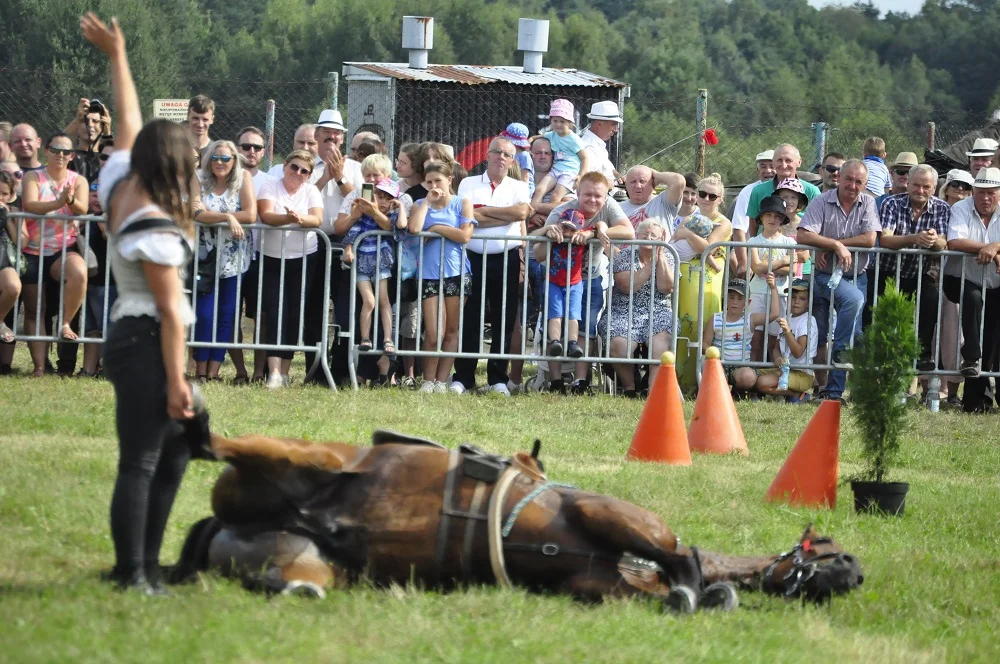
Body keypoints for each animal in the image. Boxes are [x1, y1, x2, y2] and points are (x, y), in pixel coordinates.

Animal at [170, 430, 860, 612]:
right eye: (828, 545)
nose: (855, 572)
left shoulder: (598, 586)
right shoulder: (609, 513)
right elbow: (680, 560)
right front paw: (701, 587)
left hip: (304, 559)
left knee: (295, 580)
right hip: (299, 457)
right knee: (221, 444)